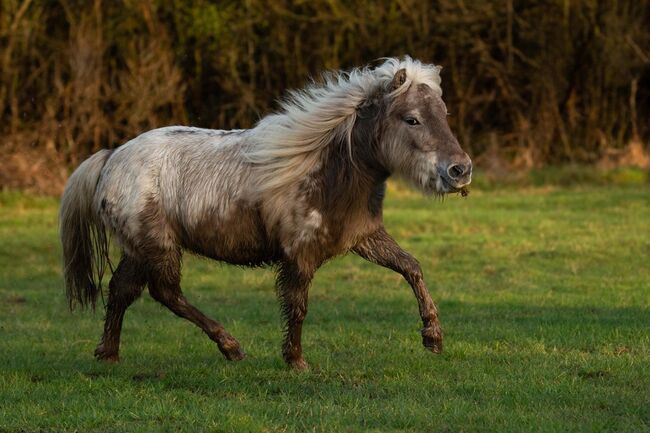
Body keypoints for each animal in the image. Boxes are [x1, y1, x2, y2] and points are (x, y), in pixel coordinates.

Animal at [60, 55, 470, 370]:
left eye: (444, 113)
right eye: (412, 119)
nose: (460, 170)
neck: (325, 169)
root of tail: (112, 157)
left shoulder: (364, 237)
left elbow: (411, 267)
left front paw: (433, 338)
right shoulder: (299, 255)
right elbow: (298, 305)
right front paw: (296, 361)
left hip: (139, 249)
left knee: (123, 290)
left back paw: (109, 354)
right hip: (157, 246)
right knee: (164, 292)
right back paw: (230, 347)